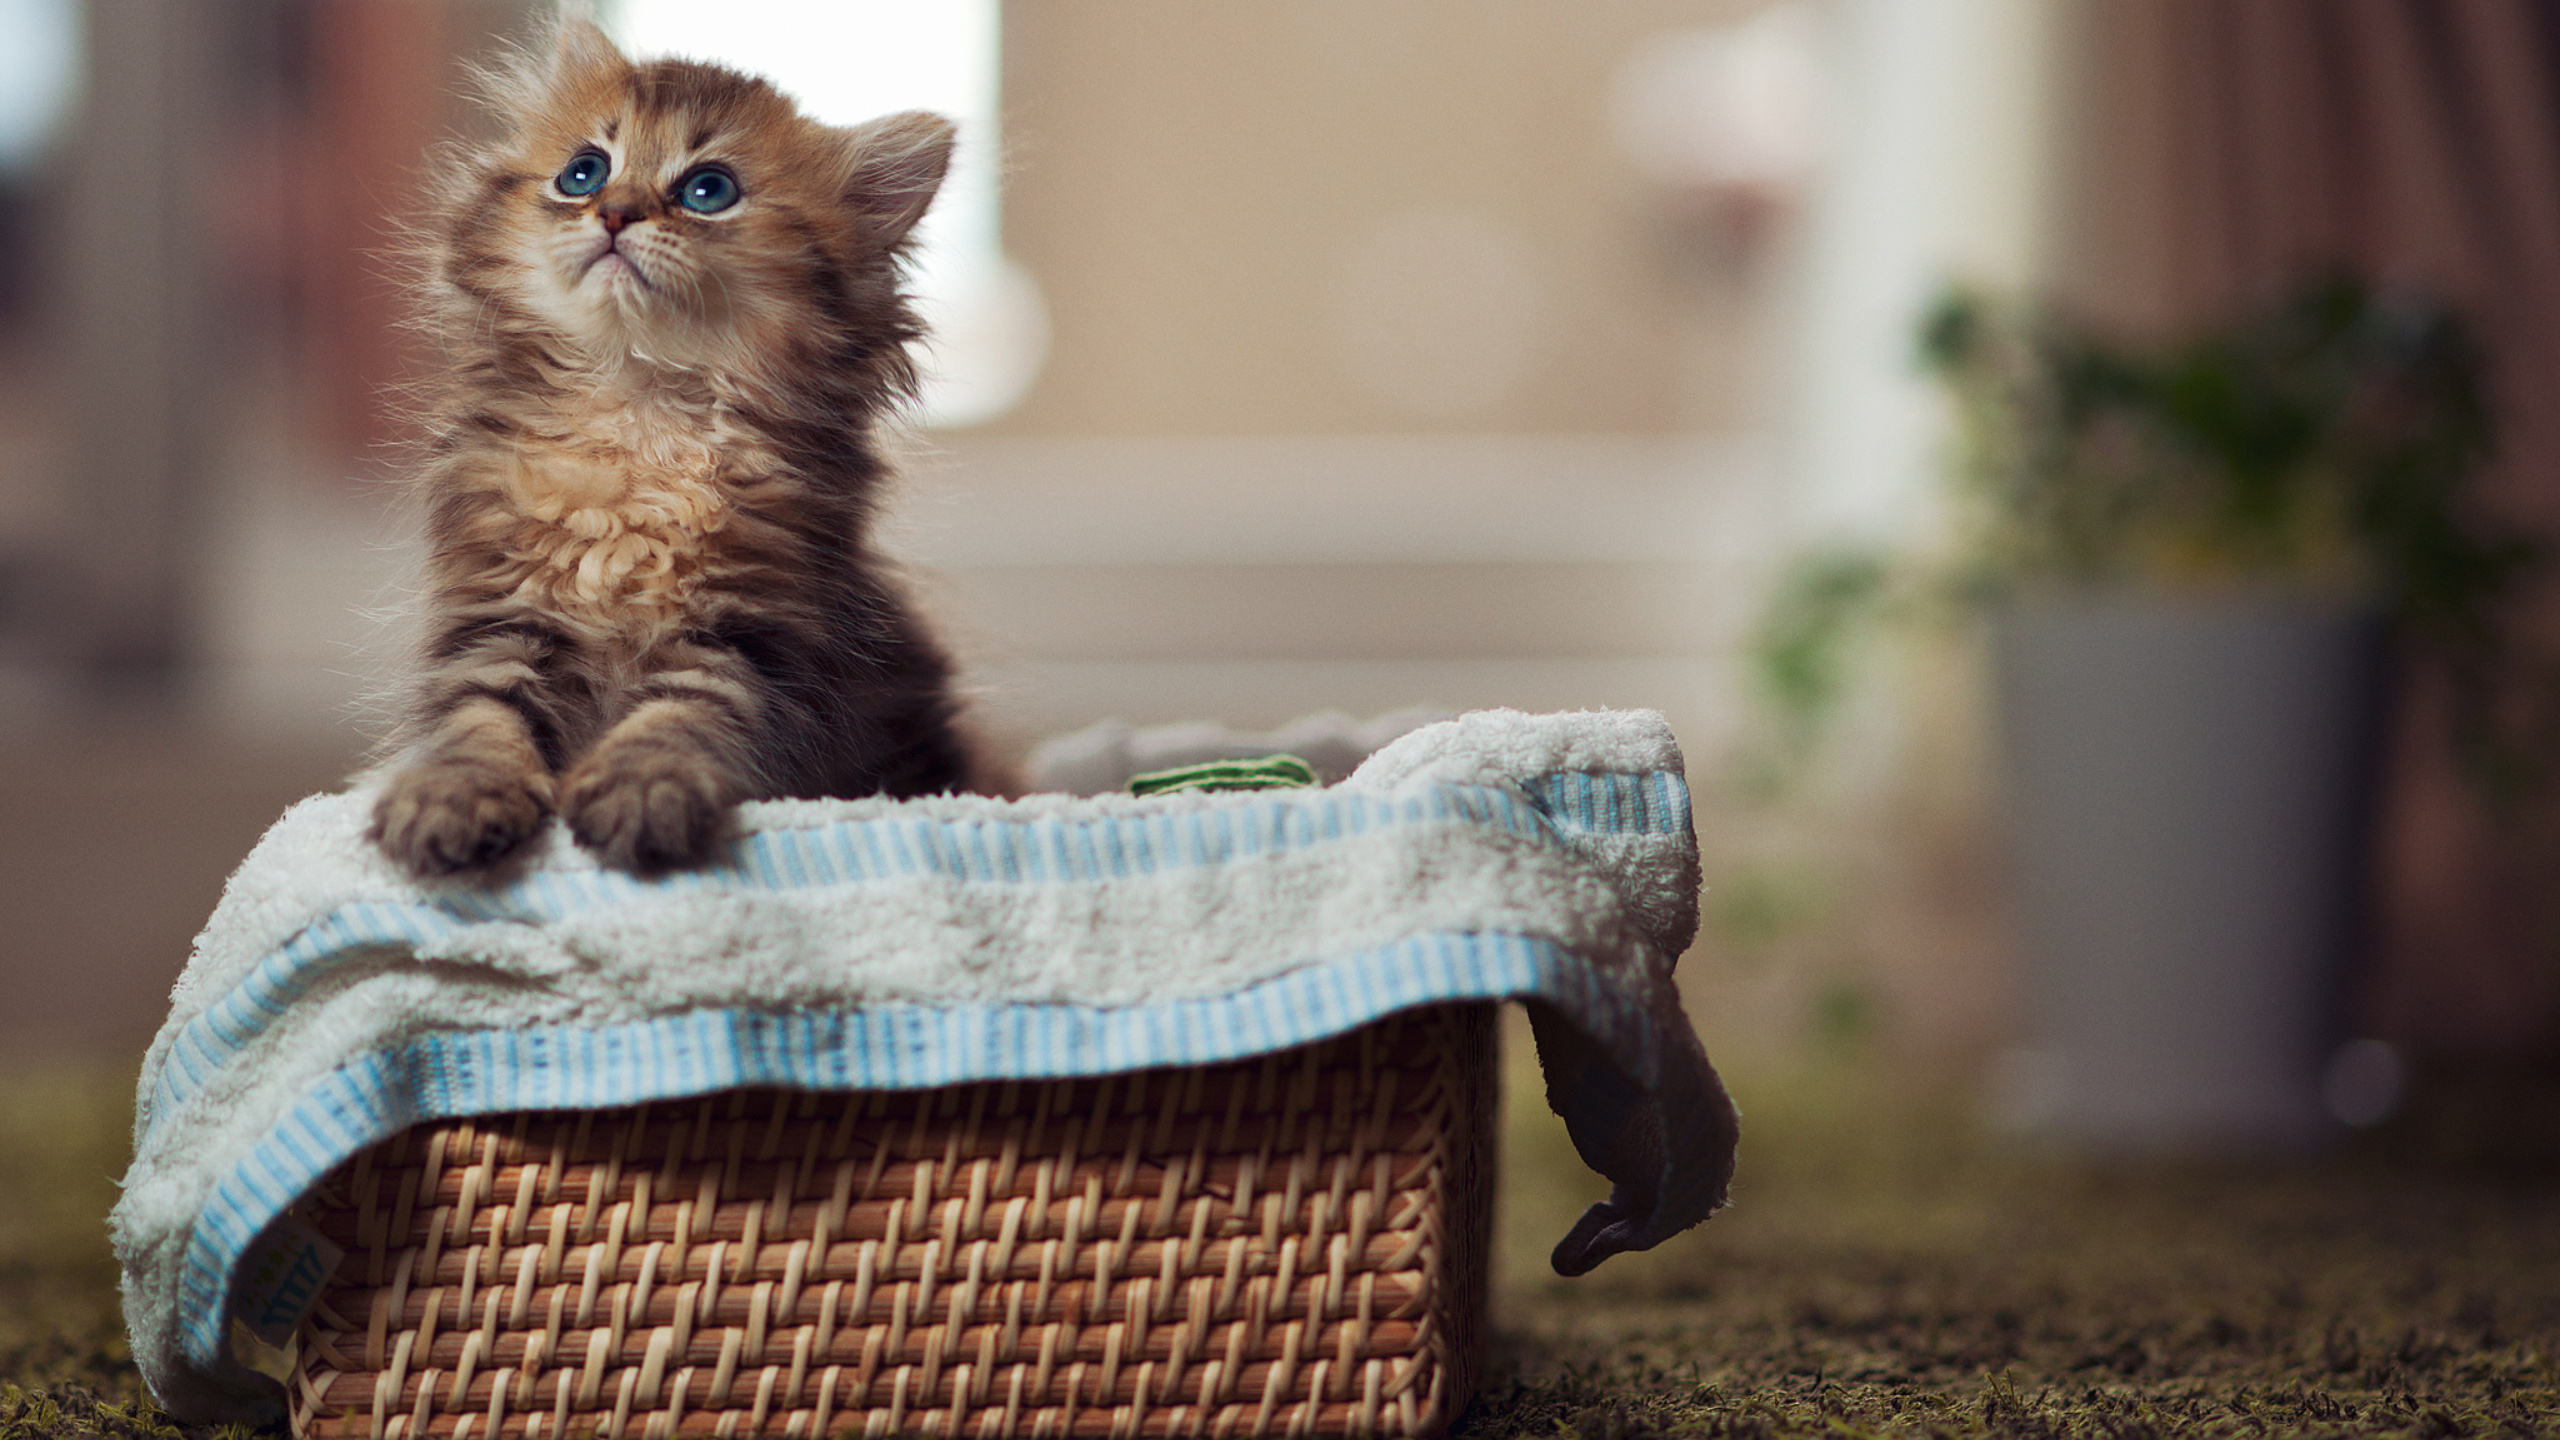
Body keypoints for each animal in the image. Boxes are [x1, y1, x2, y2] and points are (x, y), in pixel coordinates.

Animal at [371, 22, 988, 876]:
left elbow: (680, 717)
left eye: (707, 191)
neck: (638, 414)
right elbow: (478, 718)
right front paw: (450, 797)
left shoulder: (746, 635)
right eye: (583, 172)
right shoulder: (497, 616)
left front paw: (642, 792)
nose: (614, 212)